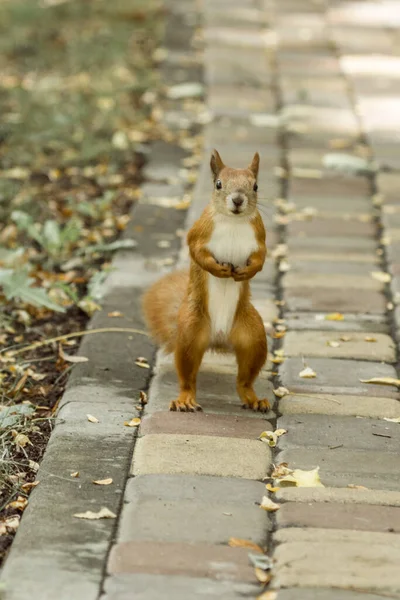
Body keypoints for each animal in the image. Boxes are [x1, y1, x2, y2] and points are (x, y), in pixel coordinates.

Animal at [142, 149, 270, 412]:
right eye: (218, 184)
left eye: (255, 185)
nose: (238, 200)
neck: (233, 222)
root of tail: (219, 337)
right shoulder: (199, 233)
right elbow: (197, 253)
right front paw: (218, 270)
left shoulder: (260, 238)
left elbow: (261, 259)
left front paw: (245, 272)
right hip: (190, 332)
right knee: (187, 376)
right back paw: (185, 400)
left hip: (253, 338)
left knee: (245, 379)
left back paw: (253, 399)